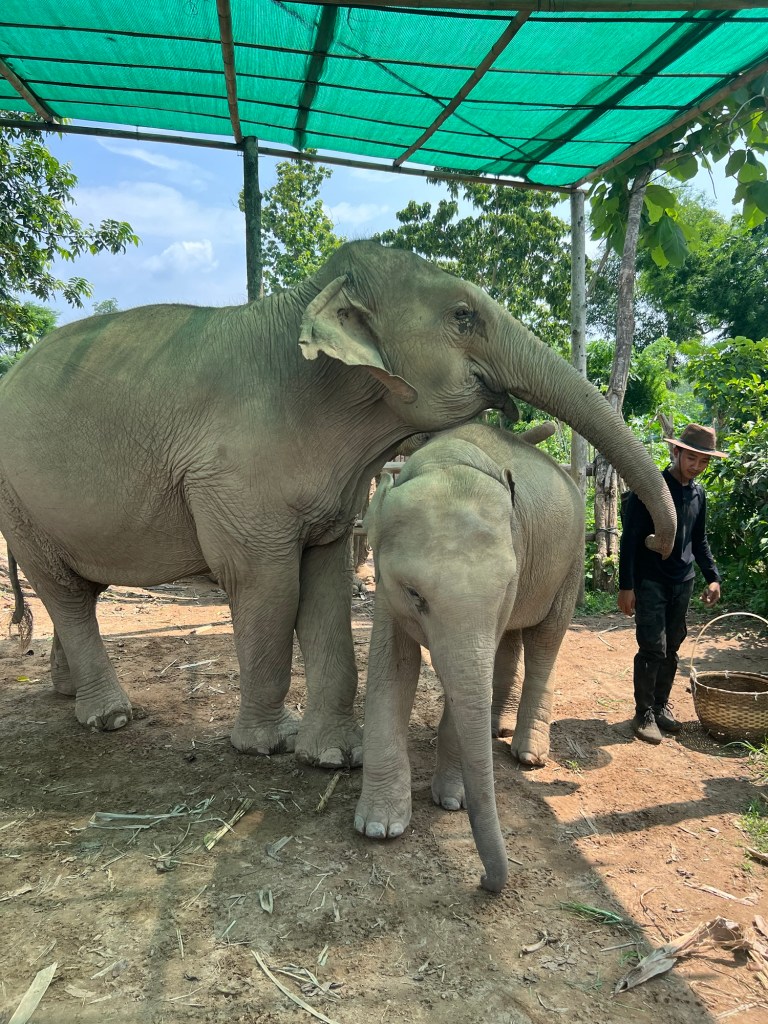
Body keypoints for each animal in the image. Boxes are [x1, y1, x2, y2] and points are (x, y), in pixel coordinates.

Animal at [0, 240, 675, 768]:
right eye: (463, 316)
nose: (655, 541)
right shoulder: (233, 475)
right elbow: (268, 585)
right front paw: (267, 745)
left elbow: (323, 583)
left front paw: (333, 755)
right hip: (16, 499)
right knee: (62, 590)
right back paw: (110, 717)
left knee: (79, 591)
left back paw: (68, 696)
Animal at [354, 423, 586, 892]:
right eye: (415, 594)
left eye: (503, 587)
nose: (483, 881)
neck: (447, 460)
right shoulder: (387, 588)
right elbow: (393, 668)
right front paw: (379, 827)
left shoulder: (514, 574)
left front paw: (451, 801)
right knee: (513, 642)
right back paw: (498, 727)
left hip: (572, 560)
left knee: (545, 640)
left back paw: (528, 754)